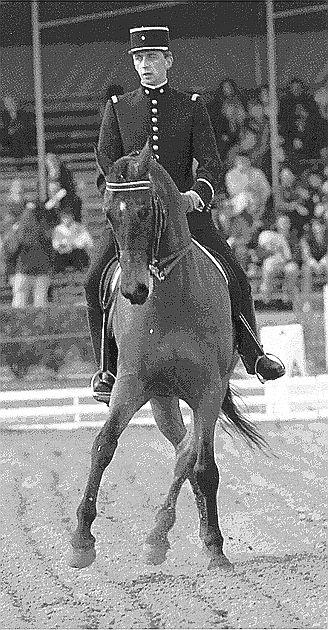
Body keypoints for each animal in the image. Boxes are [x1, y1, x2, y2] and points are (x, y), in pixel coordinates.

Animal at [70, 142, 266, 572]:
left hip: (200, 395)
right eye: (108, 213)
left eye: (145, 210)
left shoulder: (208, 389)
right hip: (161, 399)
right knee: (181, 450)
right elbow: (103, 445)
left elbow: (198, 462)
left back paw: (189, 539)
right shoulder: (131, 383)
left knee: (192, 457)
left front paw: (185, 542)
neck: (170, 297)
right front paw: (81, 540)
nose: (133, 290)